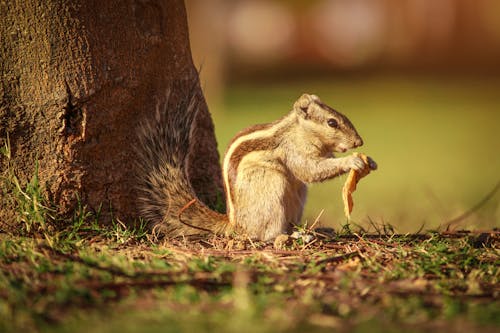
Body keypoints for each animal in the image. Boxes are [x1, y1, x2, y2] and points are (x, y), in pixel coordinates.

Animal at [137, 87, 376, 240]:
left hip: (297, 196)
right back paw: (290, 236)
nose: (359, 142)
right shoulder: (293, 150)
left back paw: (314, 230)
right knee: (265, 235)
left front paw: (370, 162)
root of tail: (235, 225)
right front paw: (352, 161)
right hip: (272, 186)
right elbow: (311, 170)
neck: (299, 131)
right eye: (332, 122)